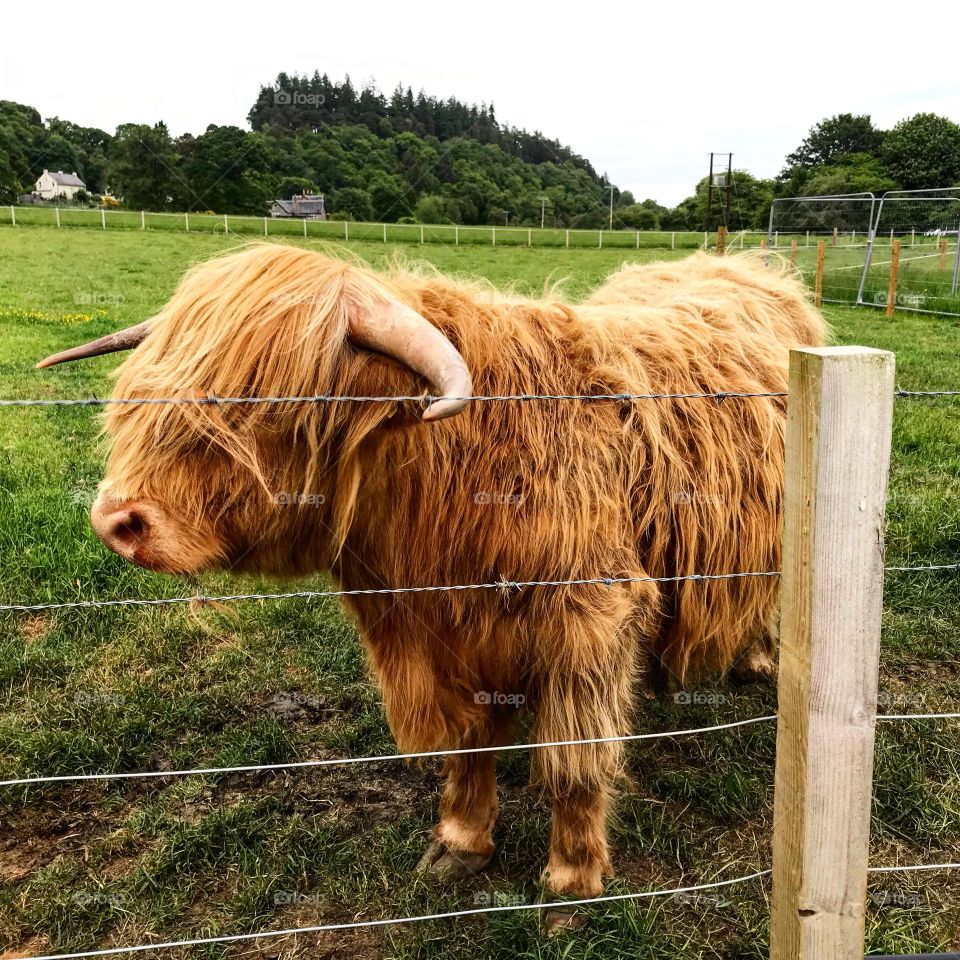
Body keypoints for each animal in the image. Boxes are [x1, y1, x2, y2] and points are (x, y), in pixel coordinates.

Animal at [39, 246, 824, 928]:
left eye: (273, 401)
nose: (118, 520)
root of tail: (742, 265)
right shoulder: (440, 632)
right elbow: (468, 744)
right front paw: (462, 841)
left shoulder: (589, 614)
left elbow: (574, 760)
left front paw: (572, 882)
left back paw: (759, 660)